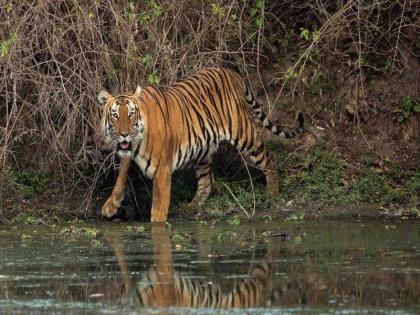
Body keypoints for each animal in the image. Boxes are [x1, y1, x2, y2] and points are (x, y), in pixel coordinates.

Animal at [97, 68, 304, 223]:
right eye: (115, 115)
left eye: (131, 114)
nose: (124, 134)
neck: (136, 142)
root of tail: (232, 73)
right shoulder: (128, 152)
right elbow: (121, 177)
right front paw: (110, 207)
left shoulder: (162, 169)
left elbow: (159, 204)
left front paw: (157, 227)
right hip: (202, 149)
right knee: (206, 182)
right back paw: (192, 205)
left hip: (244, 134)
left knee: (269, 158)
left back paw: (273, 194)